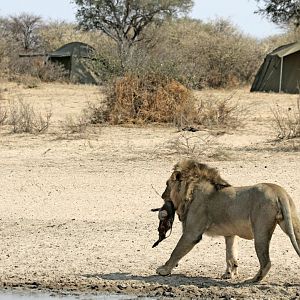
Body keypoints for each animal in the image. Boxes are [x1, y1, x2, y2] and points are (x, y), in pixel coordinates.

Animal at [157, 159, 300, 282]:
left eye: (166, 184)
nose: (162, 196)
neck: (190, 191)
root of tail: (278, 192)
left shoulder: (191, 233)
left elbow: (176, 251)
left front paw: (163, 270)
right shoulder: (230, 234)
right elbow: (230, 254)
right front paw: (229, 274)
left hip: (261, 230)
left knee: (266, 262)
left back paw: (254, 279)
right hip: (292, 224)